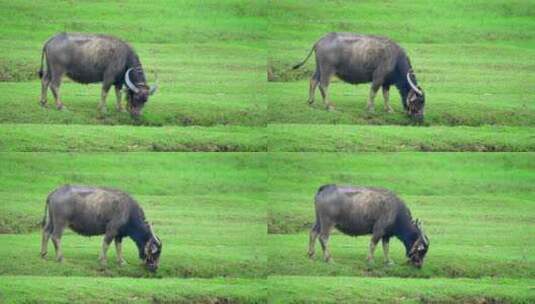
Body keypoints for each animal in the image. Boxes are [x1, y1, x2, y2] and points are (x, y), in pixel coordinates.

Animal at [294, 32, 428, 122]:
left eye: (423, 102)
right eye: (419, 102)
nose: (421, 118)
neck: (395, 59)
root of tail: (320, 41)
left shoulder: (386, 82)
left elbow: (386, 95)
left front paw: (389, 109)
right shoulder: (378, 78)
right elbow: (373, 92)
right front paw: (370, 108)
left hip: (319, 68)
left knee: (313, 80)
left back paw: (311, 101)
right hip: (327, 69)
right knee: (323, 85)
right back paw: (329, 106)